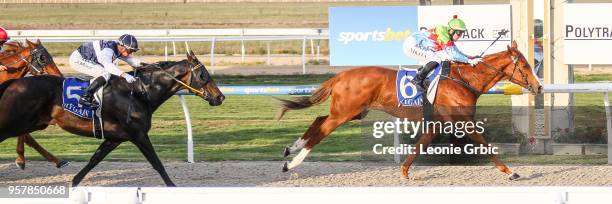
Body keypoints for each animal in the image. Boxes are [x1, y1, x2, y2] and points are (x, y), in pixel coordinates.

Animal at [278, 40, 540, 180]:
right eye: (526, 65)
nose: (539, 86)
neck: (464, 80)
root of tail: (342, 74)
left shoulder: (438, 123)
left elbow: (420, 144)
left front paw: (404, 171)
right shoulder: (463, 122)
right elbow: (486, 145)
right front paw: (510, 172)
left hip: (352, 112)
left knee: (318, 119)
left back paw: (291, 149)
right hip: (344, 113)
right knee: (322, 129)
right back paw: (293, 163)